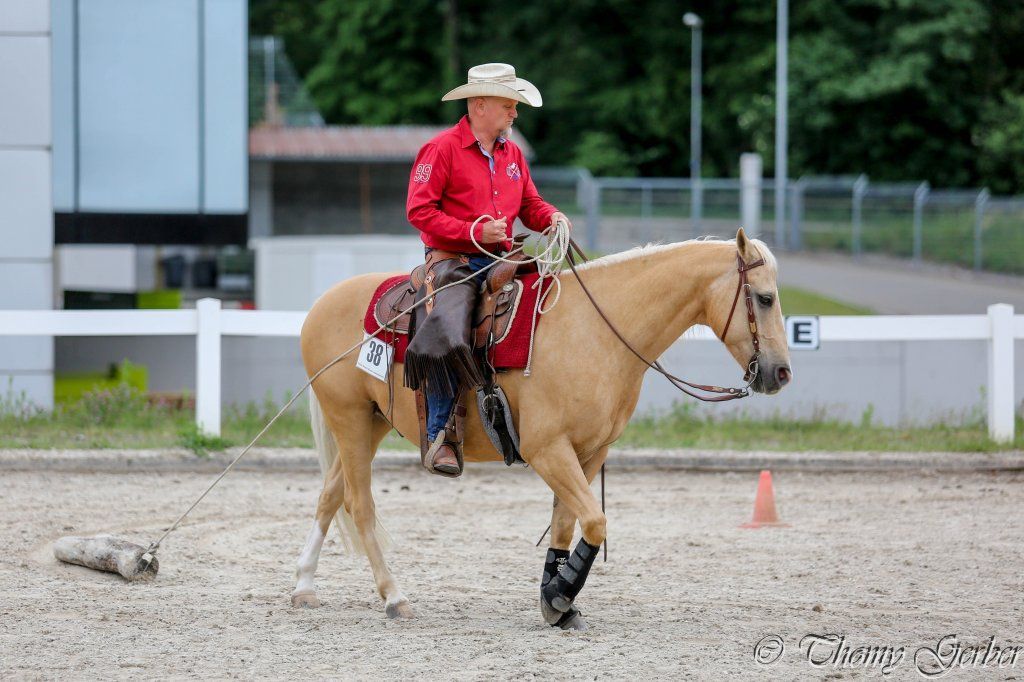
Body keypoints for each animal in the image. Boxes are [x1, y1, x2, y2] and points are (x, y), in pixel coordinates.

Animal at [290, 227, 792, 629]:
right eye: (765, 298)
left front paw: (557, 601)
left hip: (369, 424)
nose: (781, 373)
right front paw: (560, 594)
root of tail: (321, 304)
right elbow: (594, 521)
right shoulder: (548, 449)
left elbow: (567, 526)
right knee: (358, 504)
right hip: (350, 420)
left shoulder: (589, 452)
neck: (596, 332)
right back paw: (394, 597)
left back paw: (304, 586)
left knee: (330, 496)